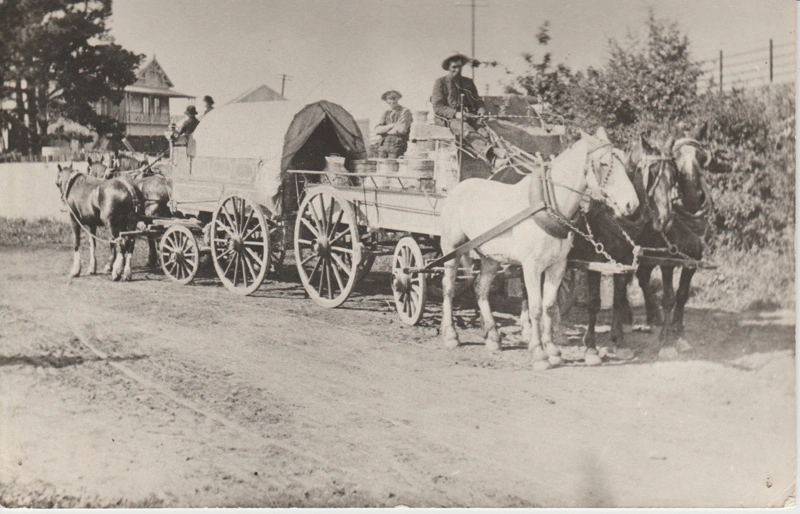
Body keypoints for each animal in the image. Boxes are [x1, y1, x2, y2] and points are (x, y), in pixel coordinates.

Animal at [440, 127, 640, 368]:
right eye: (603, 163)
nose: (631, 204)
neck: (547, 205)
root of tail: (458, 188)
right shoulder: (532, 267)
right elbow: (535, 307)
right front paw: (538, 352)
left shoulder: (558, 266)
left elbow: (549, 305)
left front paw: (553, 349)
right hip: (452, 249)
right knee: (448, 287)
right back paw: (451, 335)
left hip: (491, 257)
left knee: (481, 289)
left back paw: (493, 337)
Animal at [564, 134, 680, 362]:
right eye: (652, 173)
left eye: (673, 175)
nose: (666, 219)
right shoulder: (595, 261)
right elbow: (594, 302)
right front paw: (591, 347)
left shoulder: (624, 260)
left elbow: (618, 299)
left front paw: (619, 342)